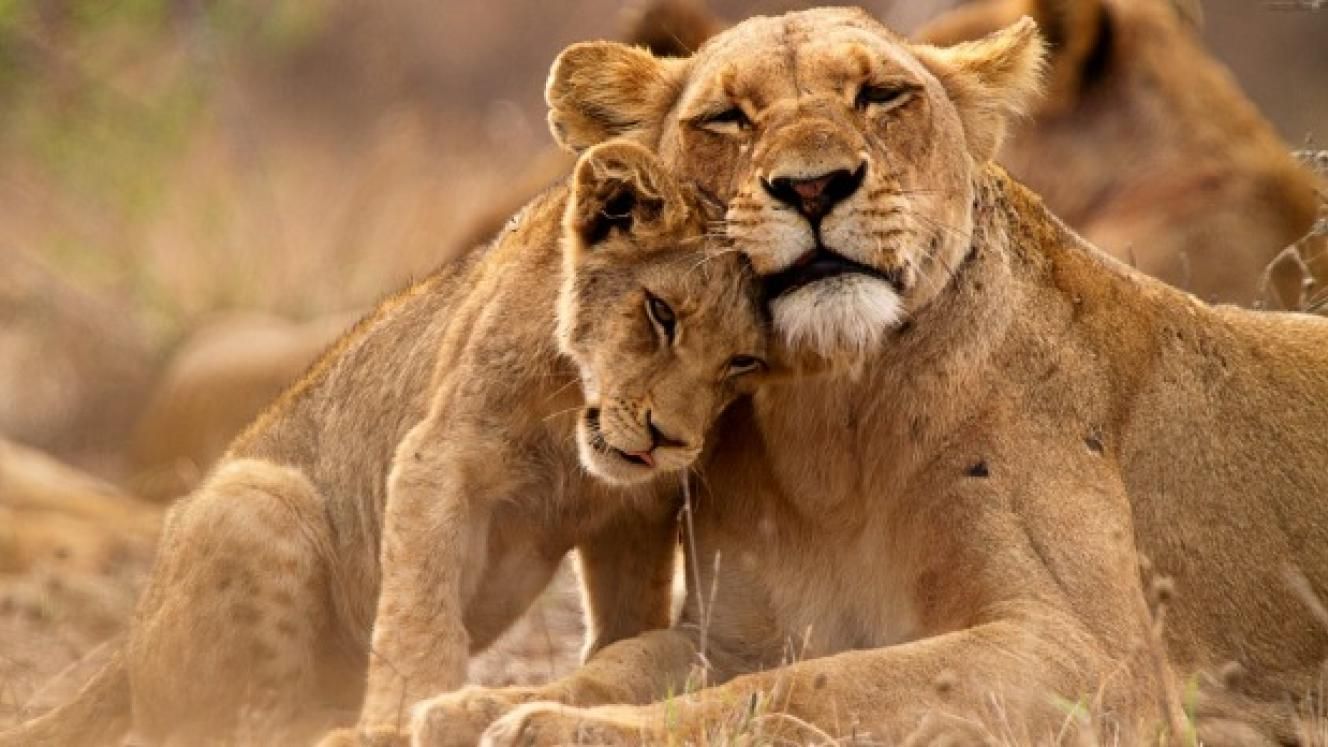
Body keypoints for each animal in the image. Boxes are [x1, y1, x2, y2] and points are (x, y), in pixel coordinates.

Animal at [0, 140, 769, 747]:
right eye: (660, 312)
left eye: (743, 362)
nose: (669, 439)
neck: (571, 425)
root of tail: (126, 645)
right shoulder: (437, 458)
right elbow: (418, 614)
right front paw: (402, 720)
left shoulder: (635, 511)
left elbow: (628, 618)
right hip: (257, 495)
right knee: (238, 724)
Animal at [408, 10, 1328, 745]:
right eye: (726, 117)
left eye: (881, 96)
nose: (814, 185)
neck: (830, 423)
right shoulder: (729, 632)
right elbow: (627, 661)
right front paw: (482, 704)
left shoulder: (1096, 659)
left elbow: (814, 685)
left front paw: (557, 727)